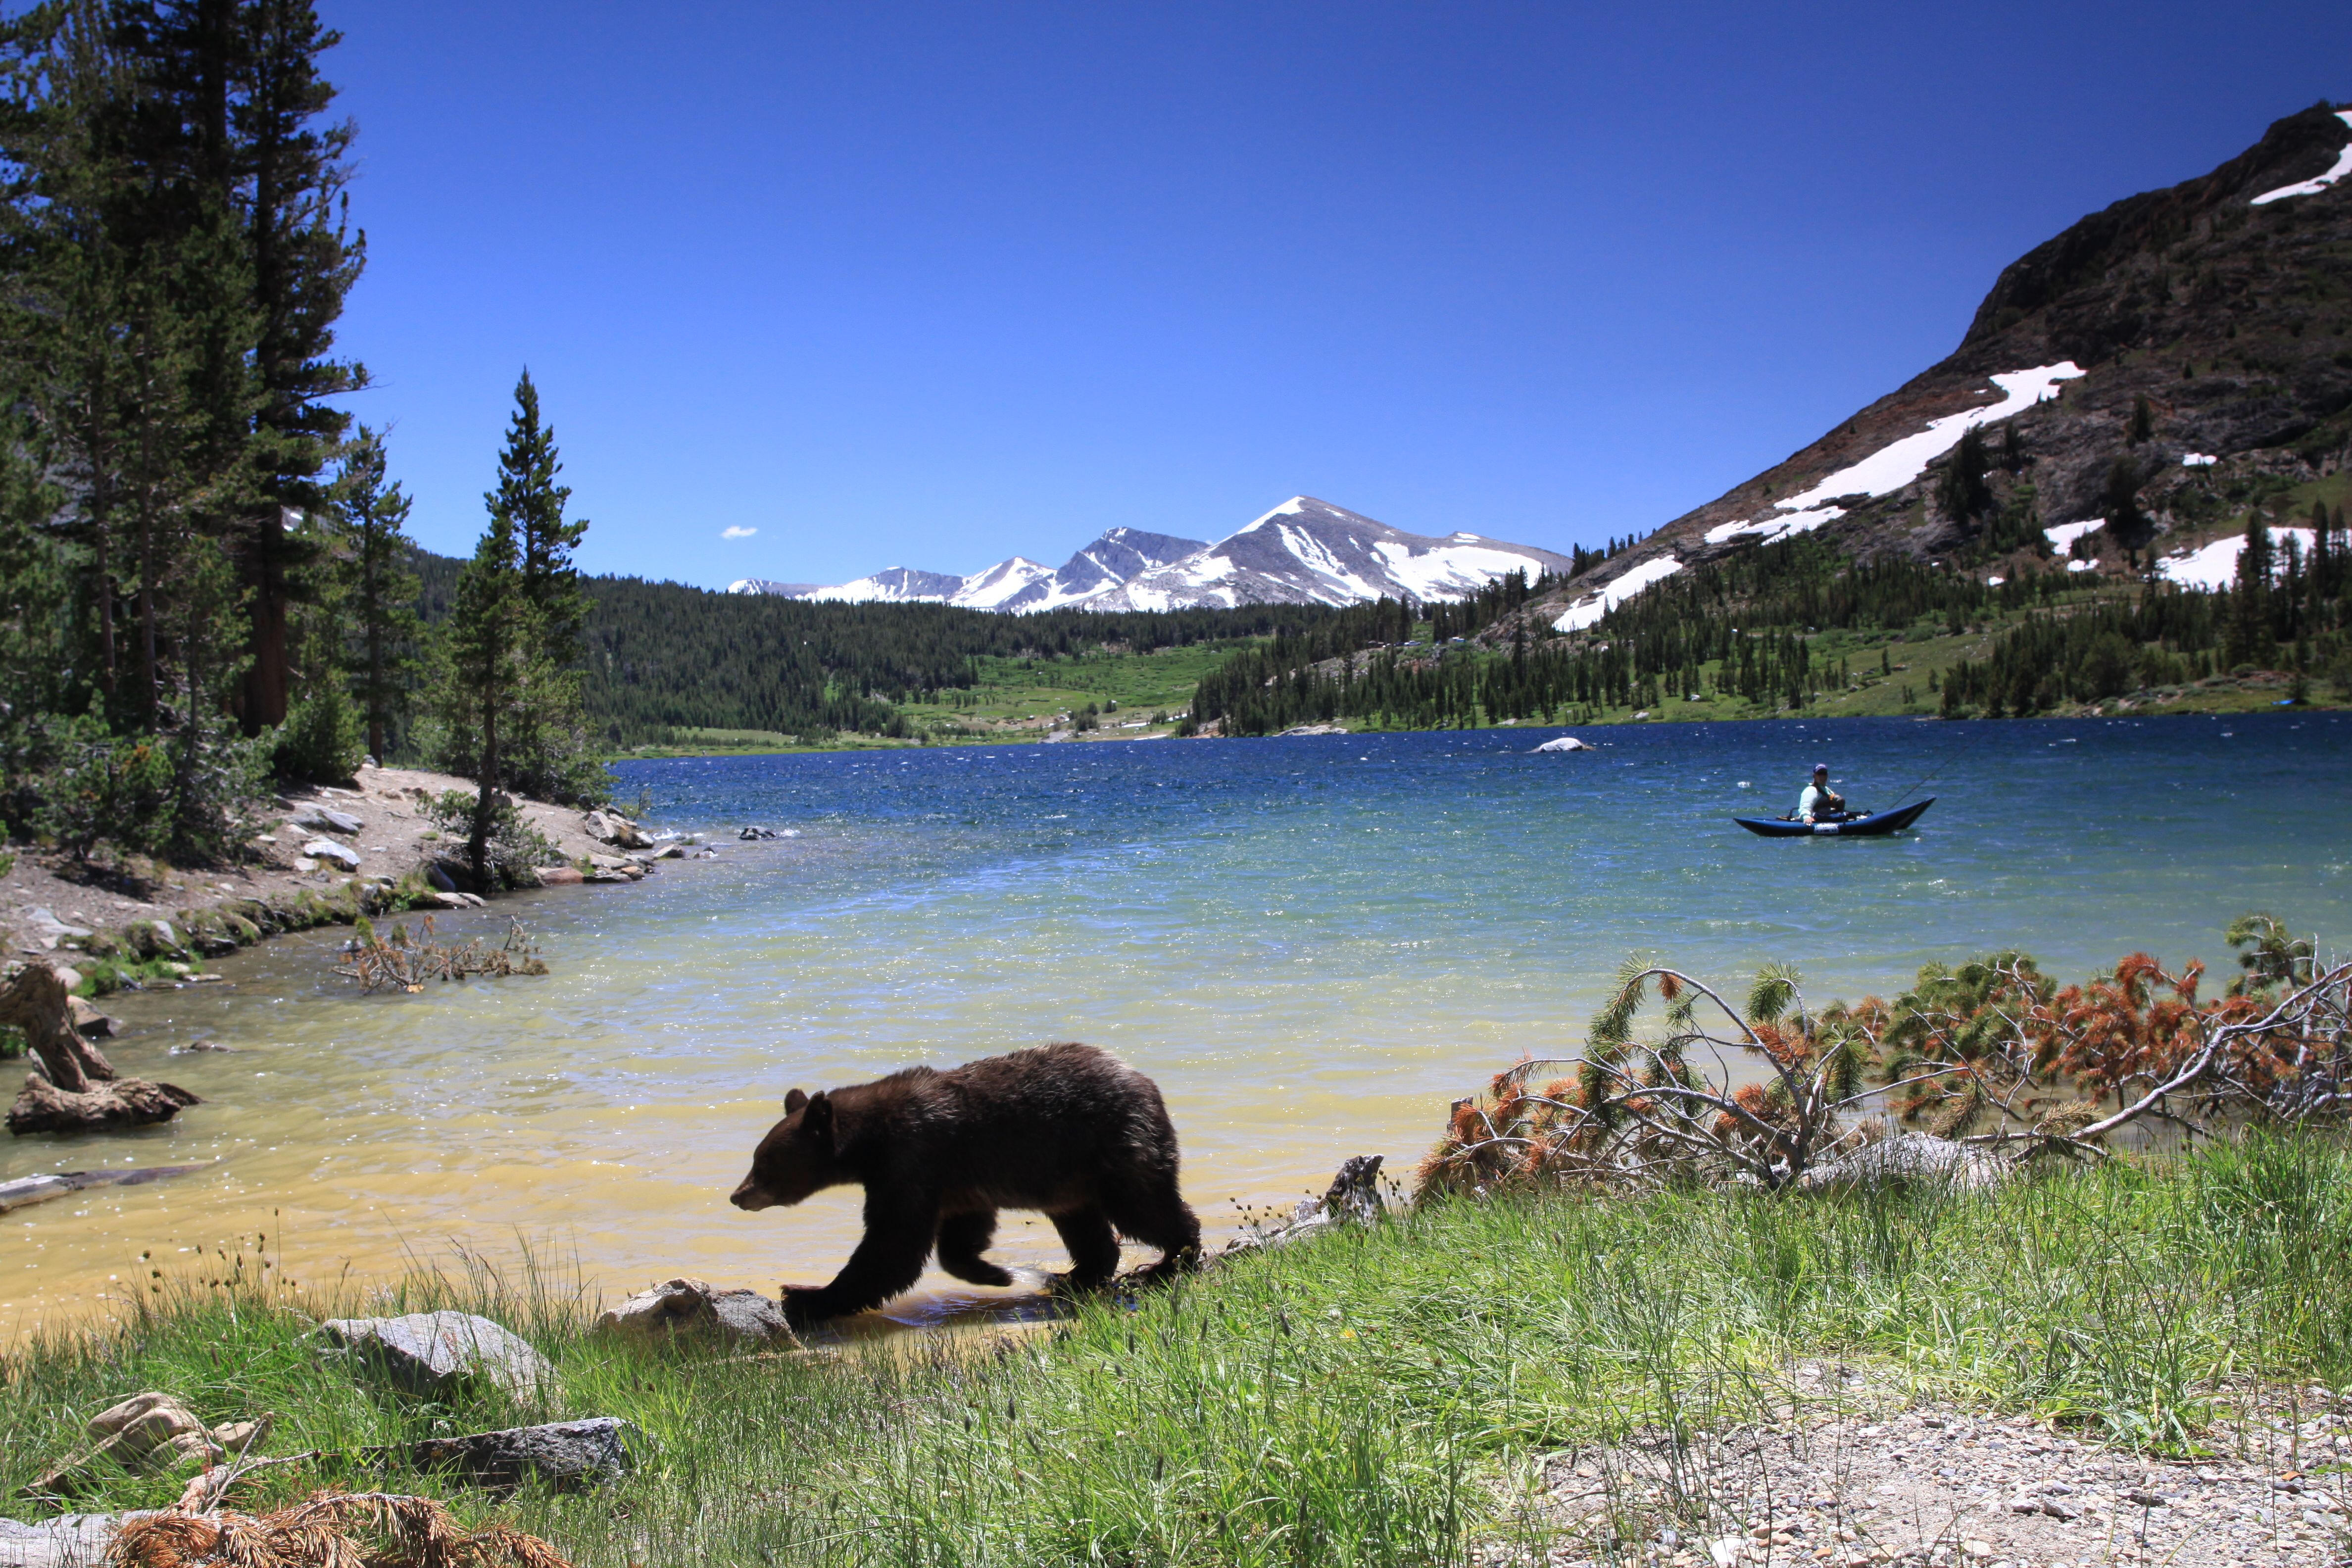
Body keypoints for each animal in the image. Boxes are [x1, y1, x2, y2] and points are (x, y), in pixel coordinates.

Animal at [724, 1043, 1204, 1325]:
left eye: (764, 1162)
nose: (737, 1195)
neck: (871, 1143)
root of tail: (1147, 1083)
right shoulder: (954, 1179)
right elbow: (958, 1234)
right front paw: (996, 1273)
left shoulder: (913, 1161)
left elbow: (893, 1243)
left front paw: (807, 1295)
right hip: (1069, 1175)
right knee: (1086, 1225)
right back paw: (1074, 1277)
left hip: (1113, 1146)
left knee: (1144, 1207)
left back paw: (1169, 1262)